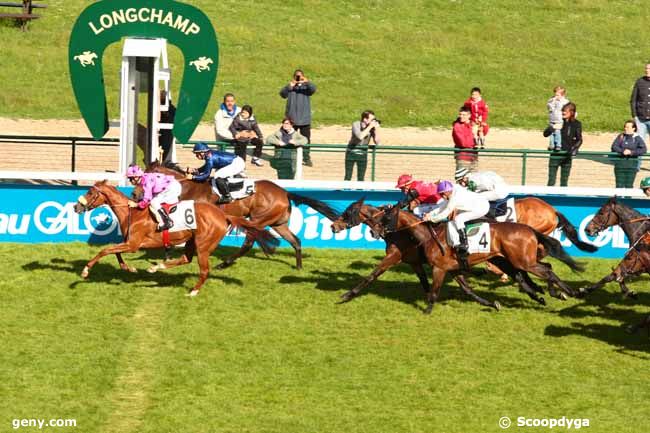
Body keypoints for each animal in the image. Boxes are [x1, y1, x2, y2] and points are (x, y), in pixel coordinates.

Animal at [73, 181, 276, 296]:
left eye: (90, 192)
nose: (76, 207)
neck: (132, 213)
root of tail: (223, 215)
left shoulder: (133, 244)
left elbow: (105, 250)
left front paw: (85, 271)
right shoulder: (129, 243)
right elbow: (115, 253)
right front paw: (129, 268)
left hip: (203, 246)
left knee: (204, 270)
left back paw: (193, 291)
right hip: (192, 241)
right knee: (185, 258)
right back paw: (157, 267)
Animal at [139, 160, 336, 268]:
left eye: (145, 178)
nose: (136, 195)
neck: (189, 187)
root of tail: (285, 193)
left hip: (257, 220)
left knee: (248, 244)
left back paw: (224, 264)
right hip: (278, 223)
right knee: (296, 241)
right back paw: (299, 267)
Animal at [378, 206, 580, 314]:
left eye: (386, 217)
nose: (378, 232)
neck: (429, 236)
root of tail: (529, 229)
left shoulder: (439, 268)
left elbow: (435, 291)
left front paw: (427, 310)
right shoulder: (453, 269)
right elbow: (468, 290)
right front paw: (492, 304)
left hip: (523, 261)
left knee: (546, 270)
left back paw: (572, 291)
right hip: (519, 260)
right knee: (545, 268)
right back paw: (555, 293)